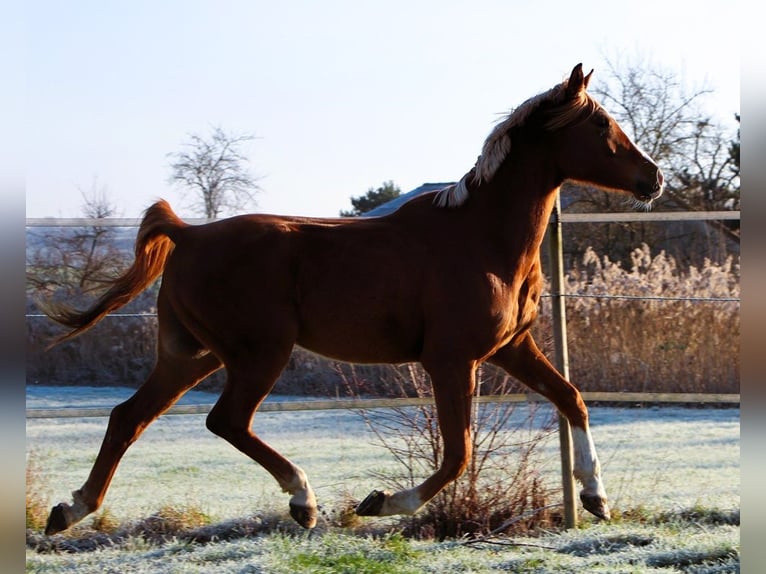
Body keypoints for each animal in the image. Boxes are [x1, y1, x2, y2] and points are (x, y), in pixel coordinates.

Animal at [41, 64, 663, 535]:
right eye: (602, 123)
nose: (653, 178)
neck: (483, 237)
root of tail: (190, 234)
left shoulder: (511, 347)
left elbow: (572, 398)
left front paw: (596, 498)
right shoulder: (451, 359)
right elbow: (458, 451)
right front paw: (381, 502)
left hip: (191, 355)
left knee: (129, 417)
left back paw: (70, 510)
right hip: (258, 353)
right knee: (226, 420)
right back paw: (304, 502)